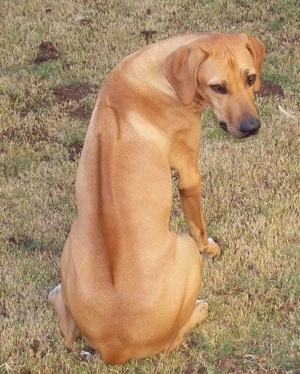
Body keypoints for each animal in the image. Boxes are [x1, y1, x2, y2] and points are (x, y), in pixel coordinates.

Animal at [49, 32, 264, 366]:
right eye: (218, 87)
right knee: (171, 342)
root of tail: (114, 348)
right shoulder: (189, 172)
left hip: (72, 243)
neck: (160, 75)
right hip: (184, 252)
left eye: (250, 78)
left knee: (68, 327)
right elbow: (198, 225)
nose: (251, 128)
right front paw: (211, 247)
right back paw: (199, 309)